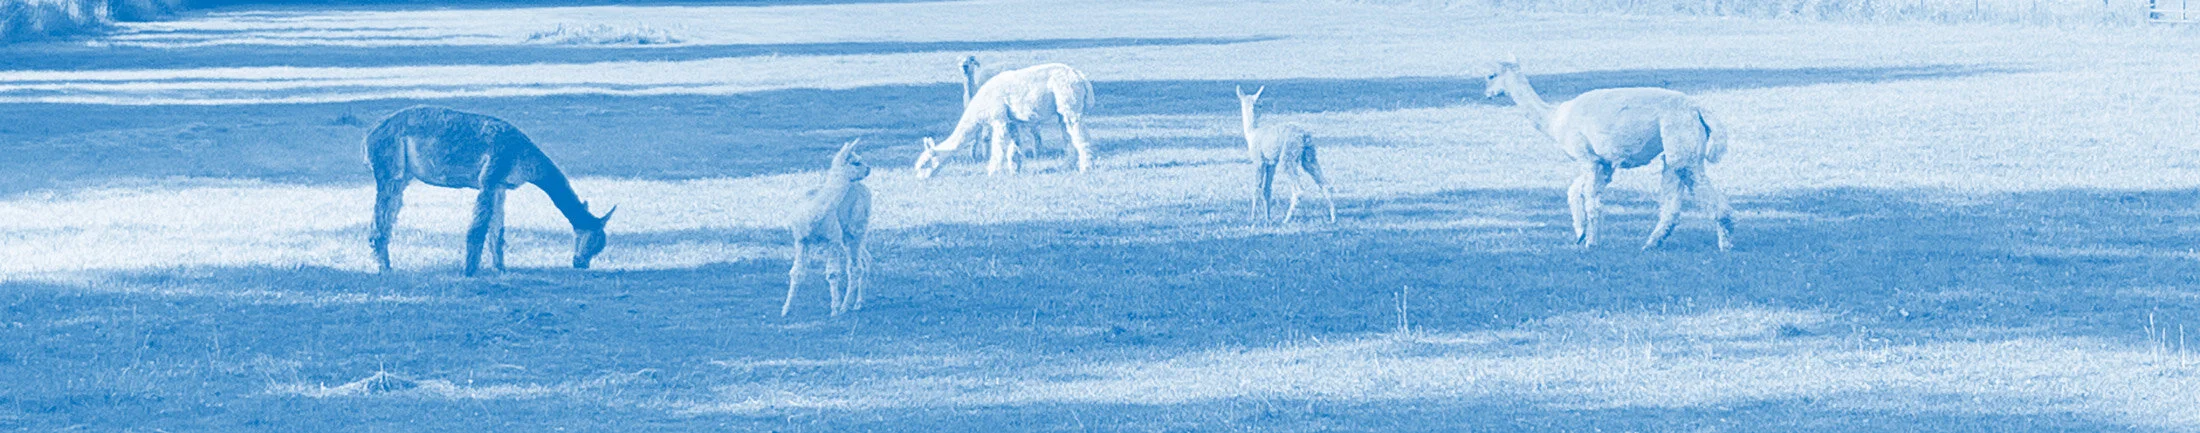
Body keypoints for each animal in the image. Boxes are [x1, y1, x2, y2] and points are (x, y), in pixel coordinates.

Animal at [365, 106, 615, 275]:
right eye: (593, 241)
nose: (581, 264)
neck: (523, 157)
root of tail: (370, 135)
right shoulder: (490, 178)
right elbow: (478, 229)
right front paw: (469, 271)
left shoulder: (500, 186)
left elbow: (498, 231)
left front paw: (501, 268)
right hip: (390, 169)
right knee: (381, 218)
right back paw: (384, 267)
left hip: (402, 176)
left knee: (388, 216)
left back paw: (385, 264)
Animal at [786, 139, 873, 316]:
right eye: (856, 162)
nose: (869, 168)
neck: (814, 211)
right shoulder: (801, 240)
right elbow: (796, 272)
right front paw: (786, 309)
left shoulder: (832, 238)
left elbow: (832, 273)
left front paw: (834, 309)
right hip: (846, 236)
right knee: (865, 259)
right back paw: (858, 303)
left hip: (856, 229)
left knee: (856, 268)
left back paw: (847, 305)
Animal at [914, 63, 1095, 178]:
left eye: (925, 164)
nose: (919, 178)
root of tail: (1080, 77)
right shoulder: (1011, 120)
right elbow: (1014, 146)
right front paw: (1015, 170)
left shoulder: (998, 117)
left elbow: (998, 147)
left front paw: (992, 172)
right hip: (1062, 111)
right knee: (1068, 137)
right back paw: (1067, 166)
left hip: (1069, 100)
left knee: (1081, 136)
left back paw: (1086, 168)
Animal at [1236, 86, 1336, 223]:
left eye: (1260, 104)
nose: (1260, 106)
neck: (1252, 133)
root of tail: (1304, 136)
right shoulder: (1271, 164)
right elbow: (1267, 189)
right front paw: (1267, 217)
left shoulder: (1259, 161)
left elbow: (1256, 188)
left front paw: (1252, 218)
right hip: (1309, 157)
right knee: (1326, 185)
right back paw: (1333, 218)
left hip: (1288, 156)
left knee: (1299, 189)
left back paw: (1286, 219)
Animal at [1482, 57, 1734, 250]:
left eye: (1491, 75)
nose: (1487, 94)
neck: (1554, 119)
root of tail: (1697, 108)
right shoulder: (1603, 163)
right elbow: (1575, 192)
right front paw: (1581, 233)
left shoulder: (1588, 158)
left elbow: (1591, 200)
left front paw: (1590, 243)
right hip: (1677, 151)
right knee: (1672, 204)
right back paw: (1651, 244)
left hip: (1681, 146)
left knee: (1704, 195)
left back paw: (1725, 243)